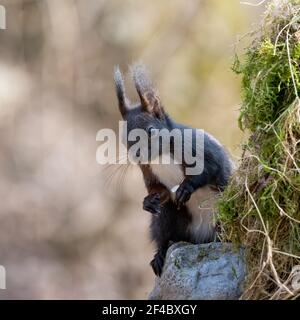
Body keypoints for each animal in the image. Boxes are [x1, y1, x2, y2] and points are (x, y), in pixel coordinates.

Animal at [113, 63, 233, 276]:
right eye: (123, 139)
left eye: (151, 130)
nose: (137, 155)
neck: (161, 157)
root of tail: (200, 239)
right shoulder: (148, 172)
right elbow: (158, 190)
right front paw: (148, 201)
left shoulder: (202, 151)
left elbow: (208, 170)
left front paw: (186, 187)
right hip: (167, 218)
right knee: (165, 235)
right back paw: (159, 256)